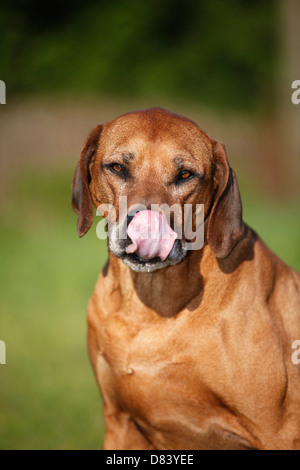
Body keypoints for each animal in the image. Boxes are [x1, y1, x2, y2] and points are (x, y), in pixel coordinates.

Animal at [72, 108, 300, 450]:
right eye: (117, 167)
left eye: (185, 174)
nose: (145, 225)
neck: (151, 308)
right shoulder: (120, 424)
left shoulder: (278, 432)